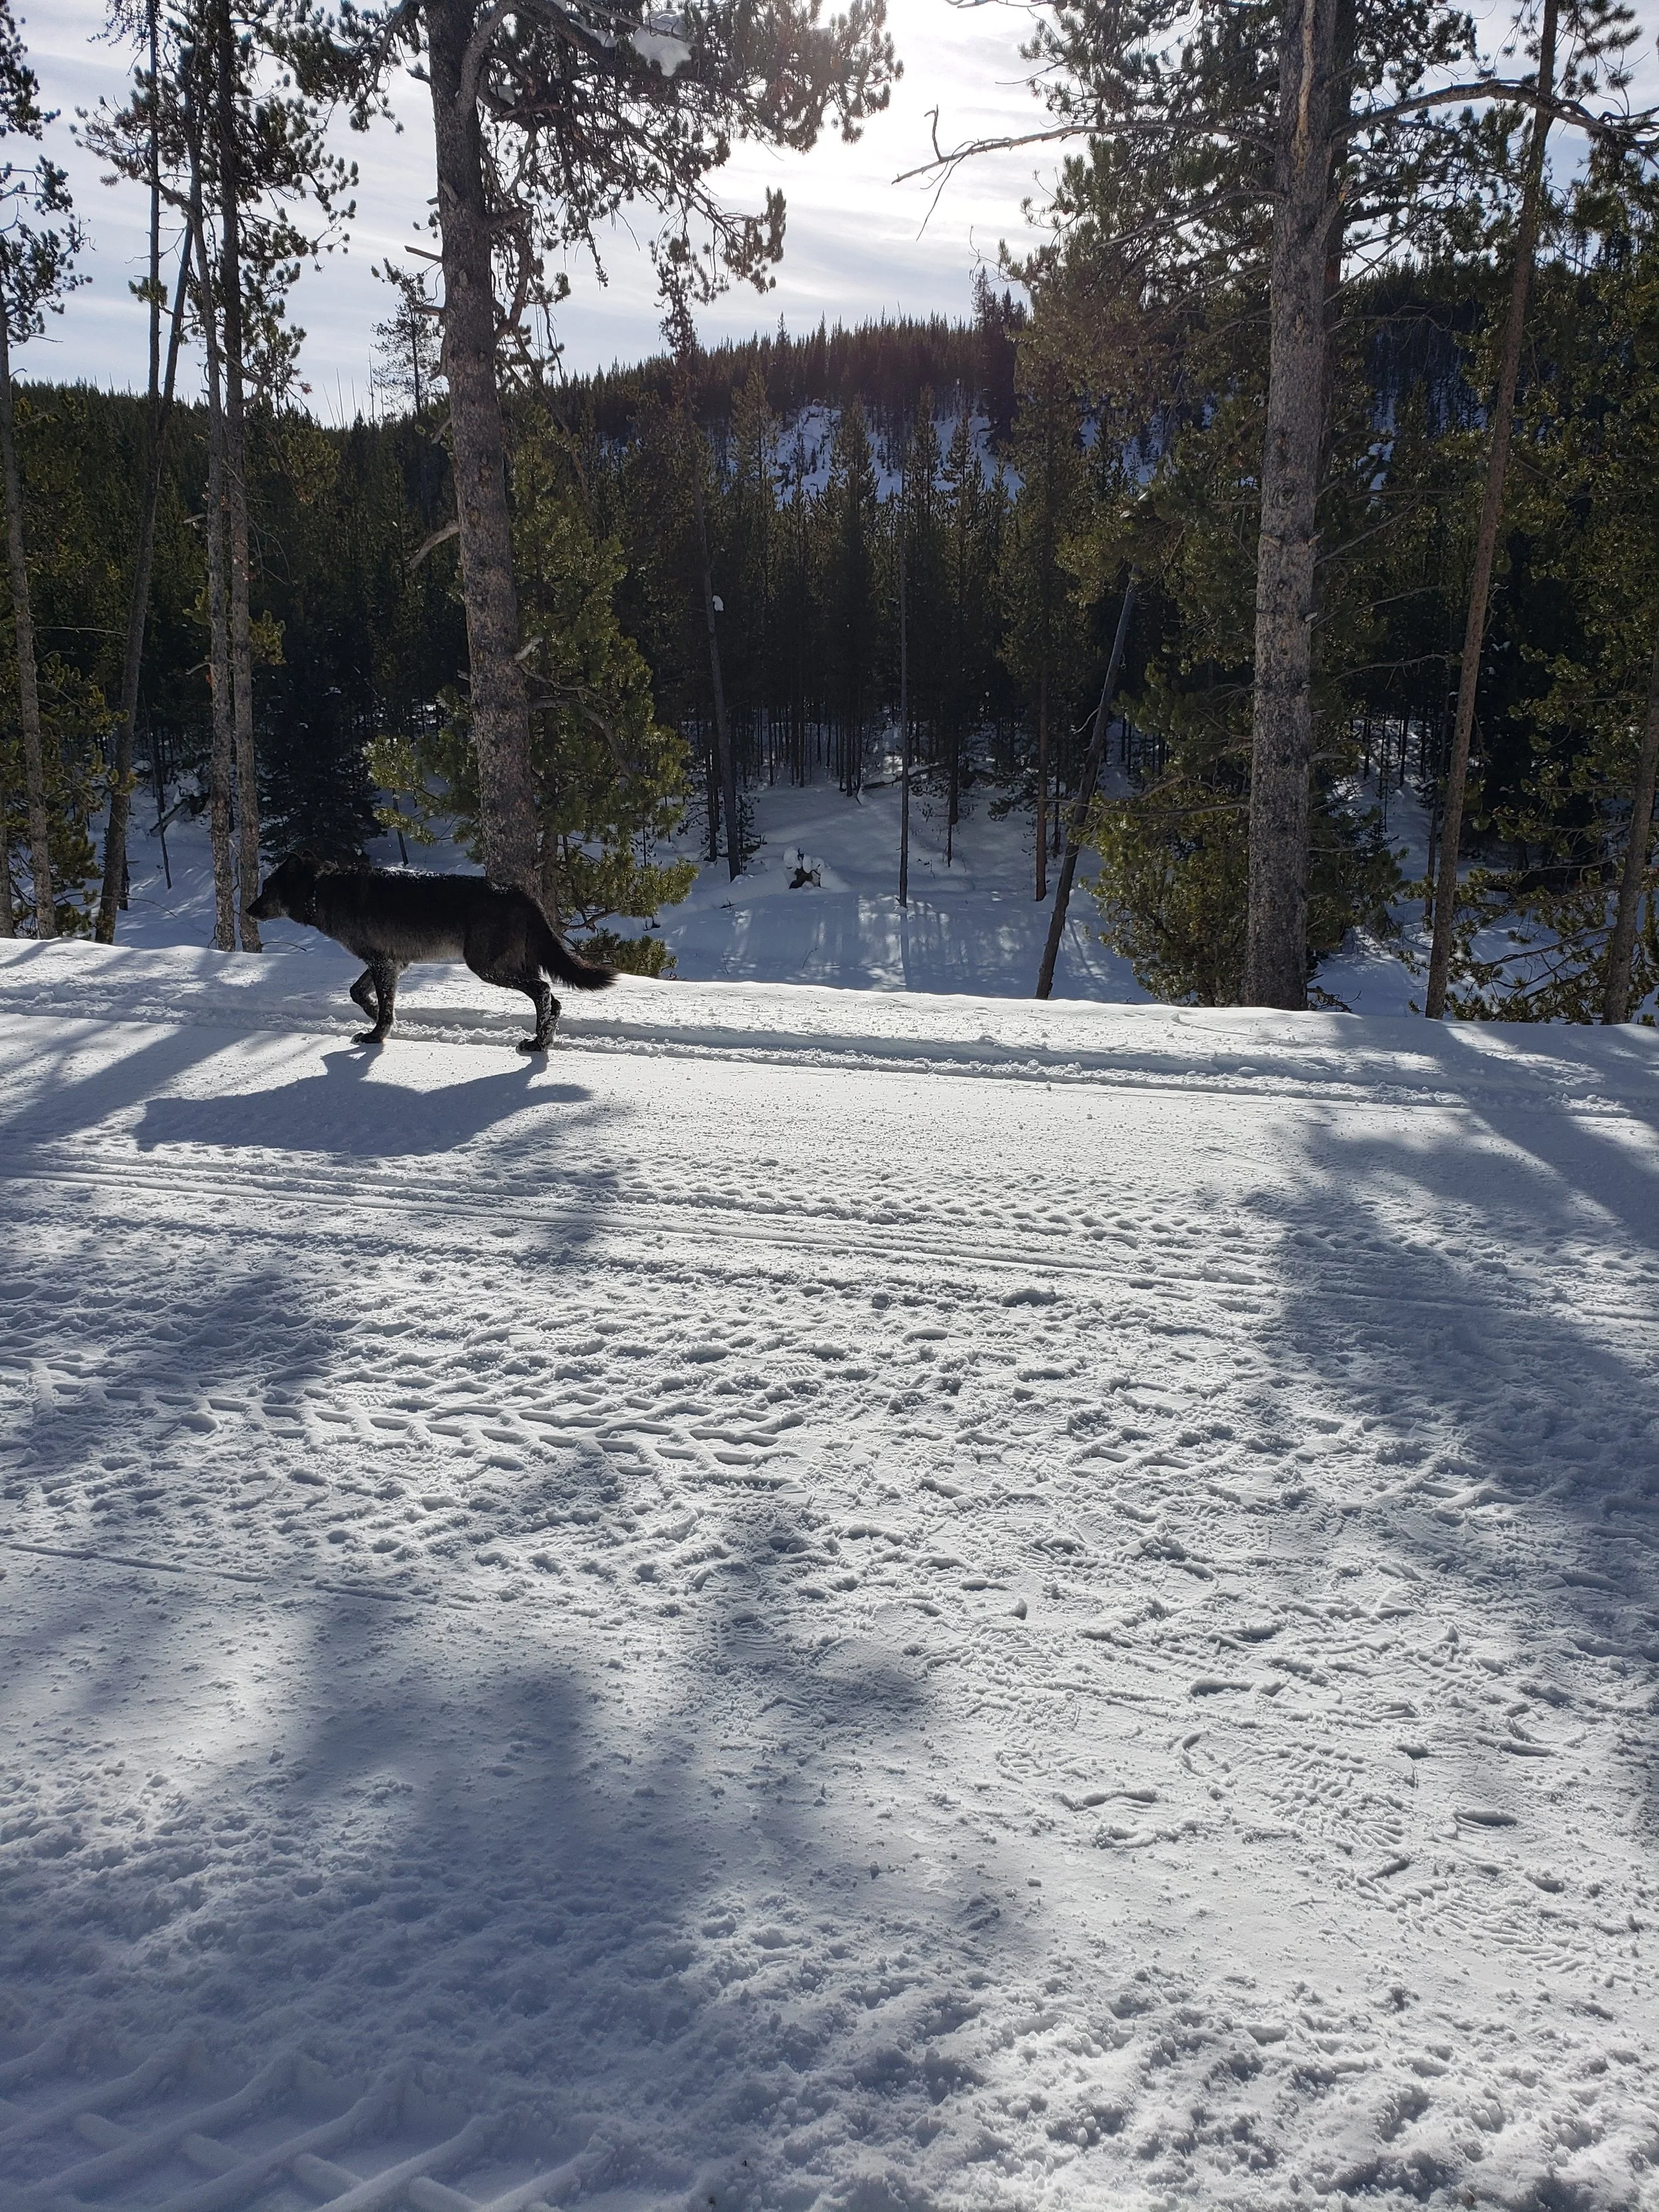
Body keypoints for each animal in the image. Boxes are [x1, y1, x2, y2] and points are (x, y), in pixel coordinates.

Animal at [248, 854, 616, 1051]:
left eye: (266, 889)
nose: (249, 911)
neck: (319, 892)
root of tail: (520, 893)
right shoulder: (391, 963)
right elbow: (358, 993)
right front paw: (375, 1016)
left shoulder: (381, 963)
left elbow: (381, 1007)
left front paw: (377, 1034)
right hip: (510, 965)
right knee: (554, 999)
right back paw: (544, 1040)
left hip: (486, 967)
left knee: (542, 990)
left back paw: (537, 1043)